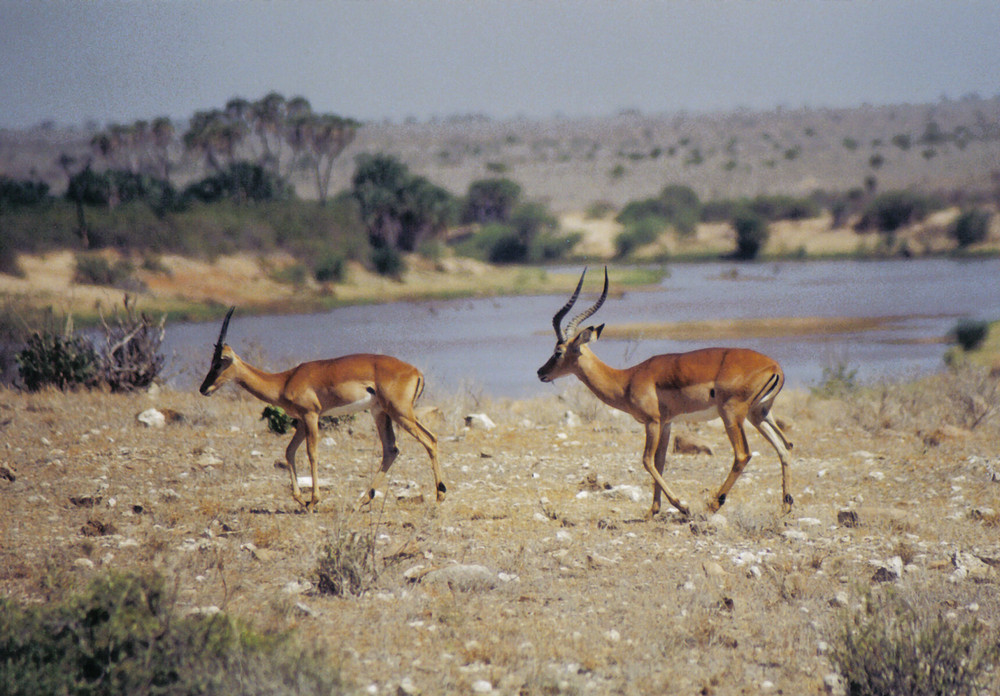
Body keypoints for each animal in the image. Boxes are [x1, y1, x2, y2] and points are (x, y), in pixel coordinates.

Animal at [197, 310, 444, 512]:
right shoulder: (300, 421)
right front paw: (301, 500)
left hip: (400, 413)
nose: (203, 389)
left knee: (430, 439)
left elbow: (312, 453)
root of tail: (415, 371)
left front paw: (313, 500)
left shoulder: (311, 415)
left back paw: (440, 496)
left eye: (218, 363)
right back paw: (361, 501)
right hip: (381, 413)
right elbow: (289, 451)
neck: (285, 381)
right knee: (391, 449)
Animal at [536, 266, 792, 516]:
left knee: (743, 454)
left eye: (558, 351)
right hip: (758, 414)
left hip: (731, 414)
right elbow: (660, 462)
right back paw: (786, 506)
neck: (627, 379)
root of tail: (775, 367)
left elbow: (647, 461)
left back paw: (713, 504)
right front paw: (653, 510)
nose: (541, 372)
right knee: (785, 447)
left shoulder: (652, 422)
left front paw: (682, 506)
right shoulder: (667, 423)